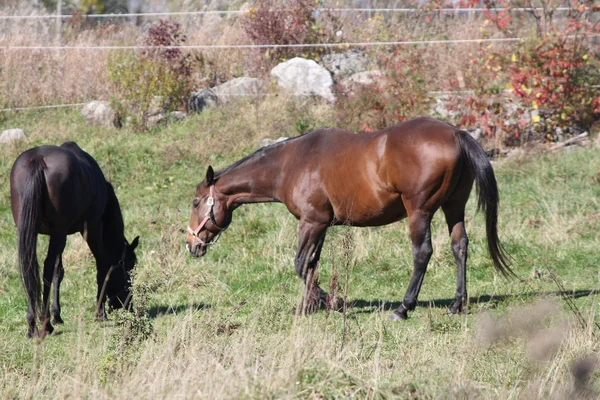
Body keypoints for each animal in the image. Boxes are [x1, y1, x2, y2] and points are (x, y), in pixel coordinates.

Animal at [10, 141, 139, 338]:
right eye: (130, 268)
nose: (128, 305)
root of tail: (38, 160)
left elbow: (59, 271)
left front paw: (57, 315)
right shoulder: (92, 228)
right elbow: (102, 266)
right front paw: (100, 313)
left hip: (32, 231)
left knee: (31, 269)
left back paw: (32, 326)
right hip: (60, 232)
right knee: (46, 268)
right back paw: (45, 324)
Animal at [185, 117, 512, 320]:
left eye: (196, 202)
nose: (191, 244)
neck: (290, 164)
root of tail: (456, 134)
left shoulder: (311, 222)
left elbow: (301, 264)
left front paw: (329, 302)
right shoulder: (321, 225)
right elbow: (311, 265)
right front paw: (309, 305)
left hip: (419, 211)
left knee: (422, 253)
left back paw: (403, 308)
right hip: (453, 207)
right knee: (460, 247)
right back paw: (457, 304)